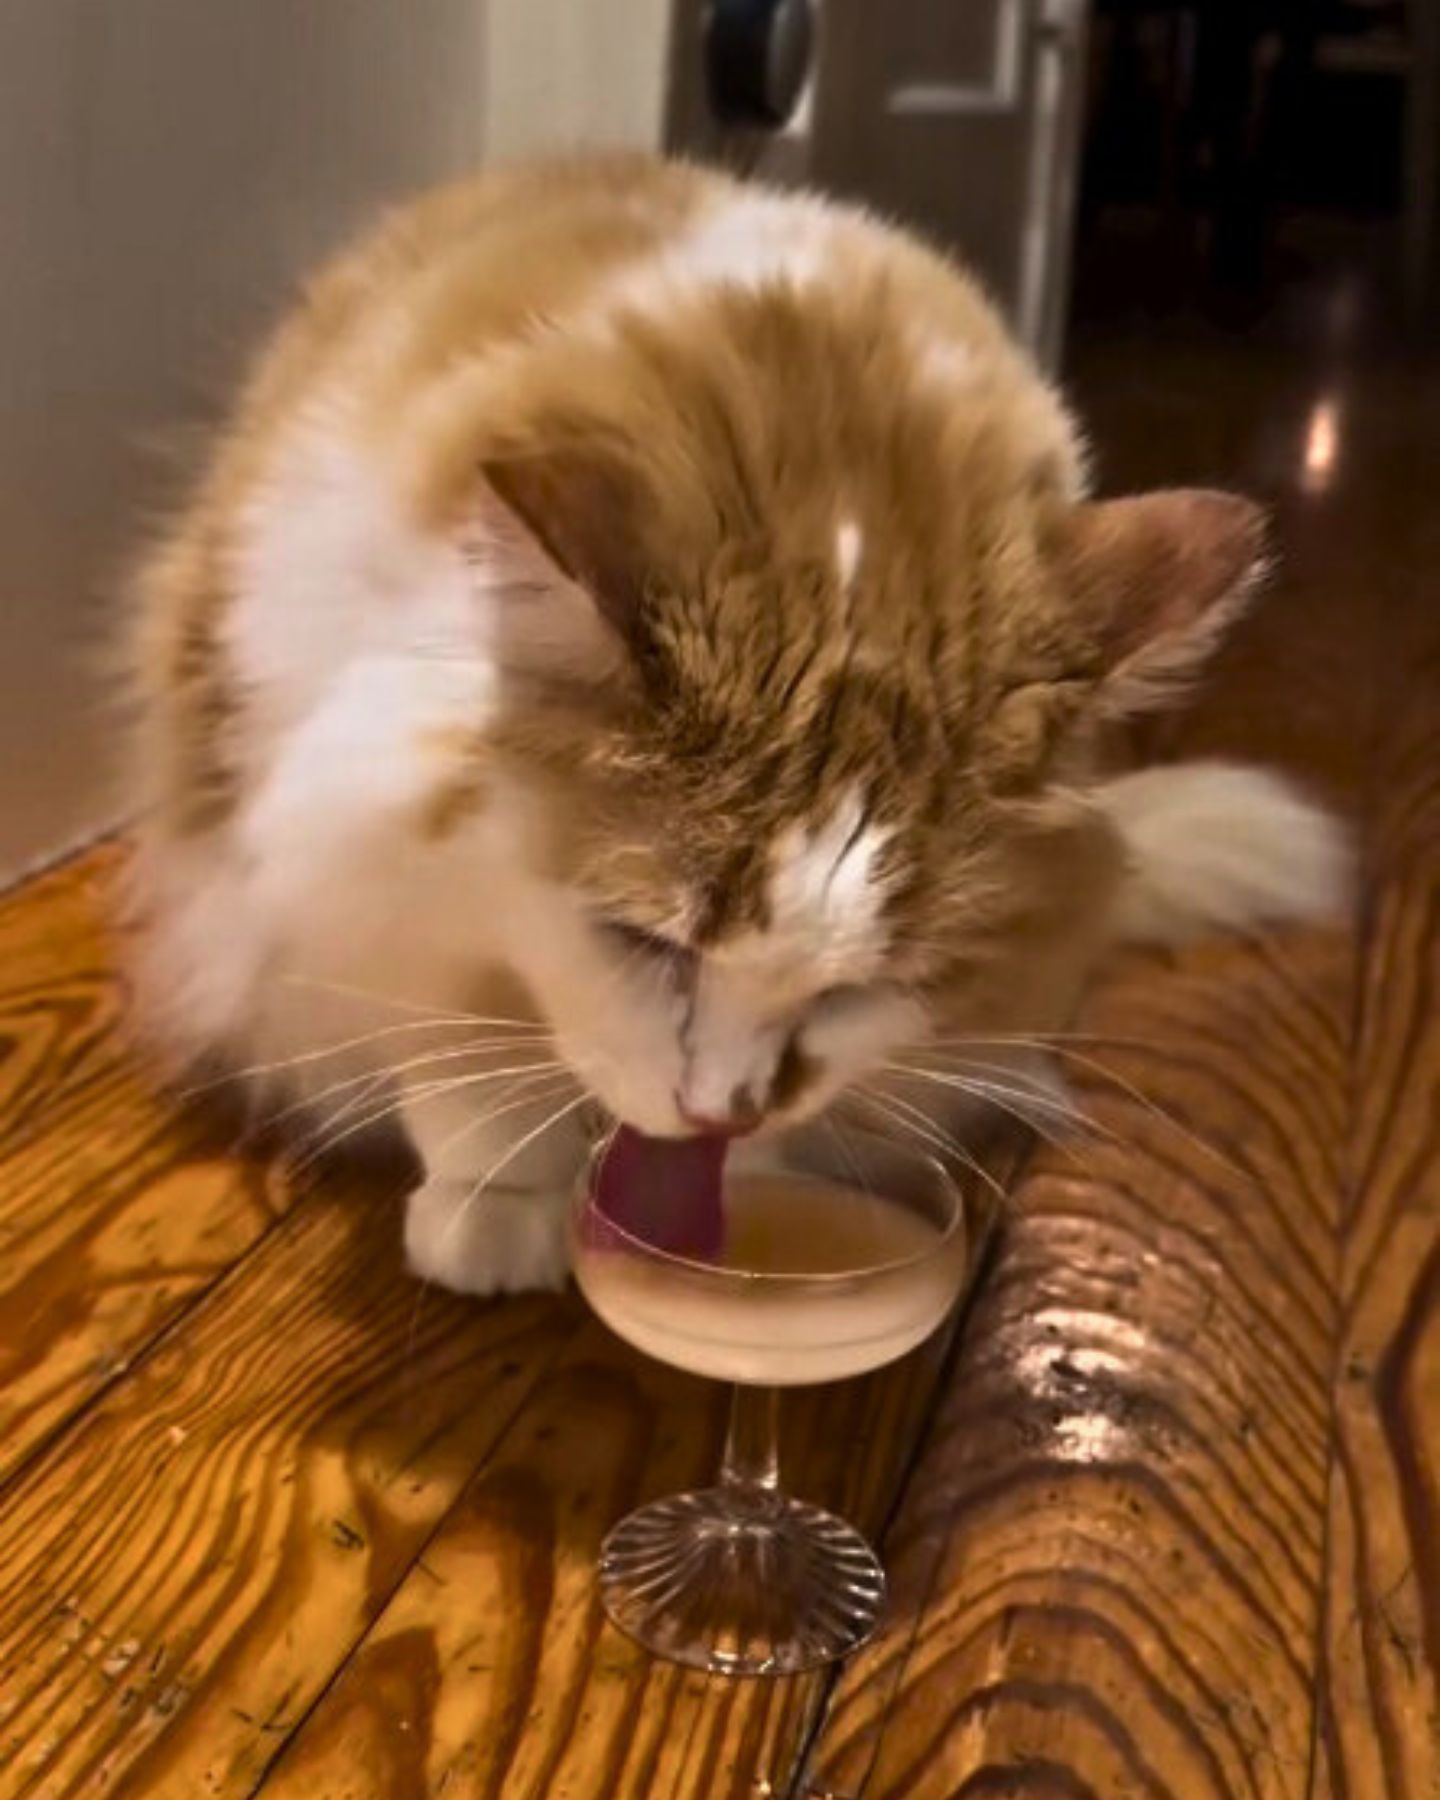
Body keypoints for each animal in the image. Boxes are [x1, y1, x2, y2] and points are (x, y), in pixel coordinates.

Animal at [120, 158, 1339, 1296]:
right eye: (645, 942)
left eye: (854, 990)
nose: (722, 1112)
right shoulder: (365, 861)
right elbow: (466, 1055)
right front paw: (498, 1210)